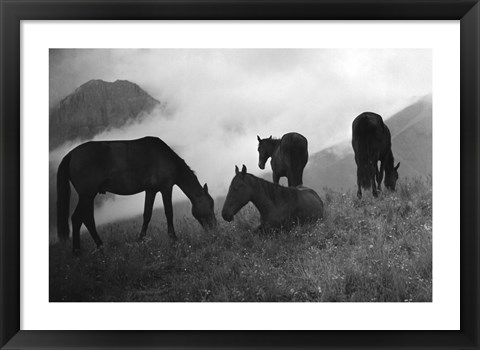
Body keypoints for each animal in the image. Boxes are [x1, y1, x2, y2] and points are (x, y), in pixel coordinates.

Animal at [55, 137, 217, 254]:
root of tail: (71, 154)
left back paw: (85, 249)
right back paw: (92, 248)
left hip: (87, 196)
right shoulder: (166, 188)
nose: (215, 228)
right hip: (87, 195)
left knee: (81, 219)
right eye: (210, 205)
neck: (166, 158)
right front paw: (173, 239)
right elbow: (168, 212)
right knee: (82, 219)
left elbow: (147, 214)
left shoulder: (151, 190)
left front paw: (141, 240)